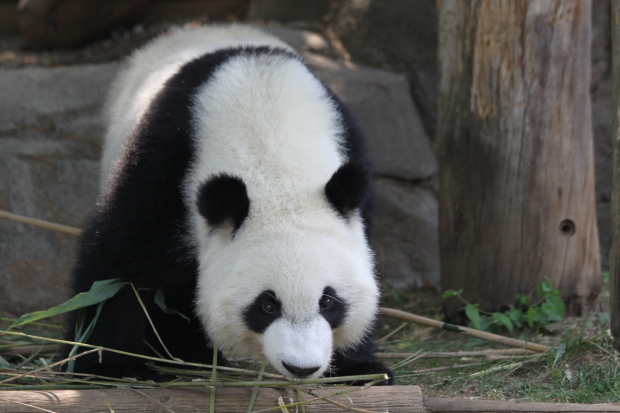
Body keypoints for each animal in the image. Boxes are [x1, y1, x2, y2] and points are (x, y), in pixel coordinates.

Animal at [64, 23, 392, 384]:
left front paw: (361, 368)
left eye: (328, 302)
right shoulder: (167, 165)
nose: (301, 367)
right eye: (267, 305)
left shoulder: (350, 163)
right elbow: (120, 261)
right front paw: (109, 366)